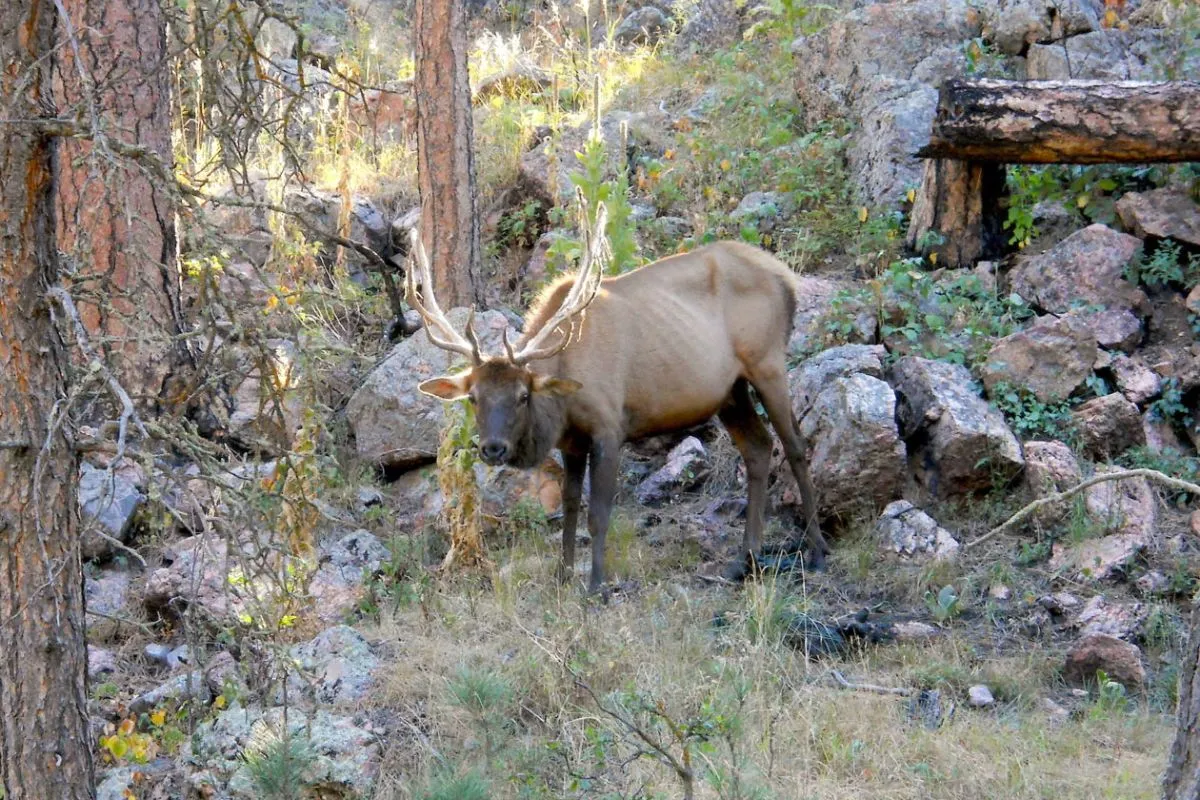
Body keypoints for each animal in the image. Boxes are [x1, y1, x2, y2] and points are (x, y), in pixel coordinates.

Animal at [408, 203, 830, 592]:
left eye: (523, 395)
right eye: (474, 397)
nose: (493, 448)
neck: (563, 400)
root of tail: (787, 279)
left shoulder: (609, 426)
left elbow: (598, 513)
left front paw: (596, 585)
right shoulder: (572, 441)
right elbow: (570, 506)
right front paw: (562, 576)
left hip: (768, 362)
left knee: (795, 445)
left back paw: (817, 551)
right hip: (731, 391)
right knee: (758, 447)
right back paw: (746, 560)